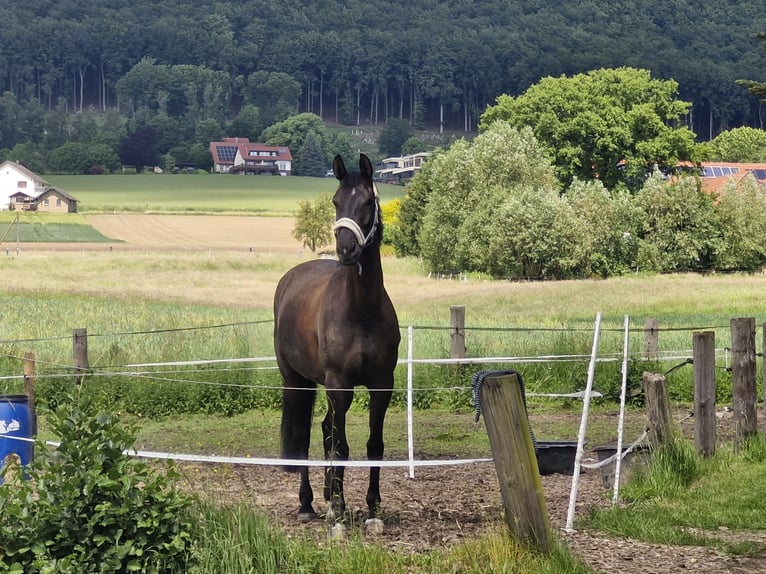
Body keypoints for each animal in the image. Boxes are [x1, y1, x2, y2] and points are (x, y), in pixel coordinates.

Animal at [272, 154, 402, 532]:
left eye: (368, 202)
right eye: (335, 201)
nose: (346, 249)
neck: (360, 310)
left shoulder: (381, 385)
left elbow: (374, 445)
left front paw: (373, 510)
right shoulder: (339, 385)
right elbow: (342, 447)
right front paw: (341, 516)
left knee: (325, 430)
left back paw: (329, 496)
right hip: (298, 382)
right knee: (304, 436)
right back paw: (309, 504)